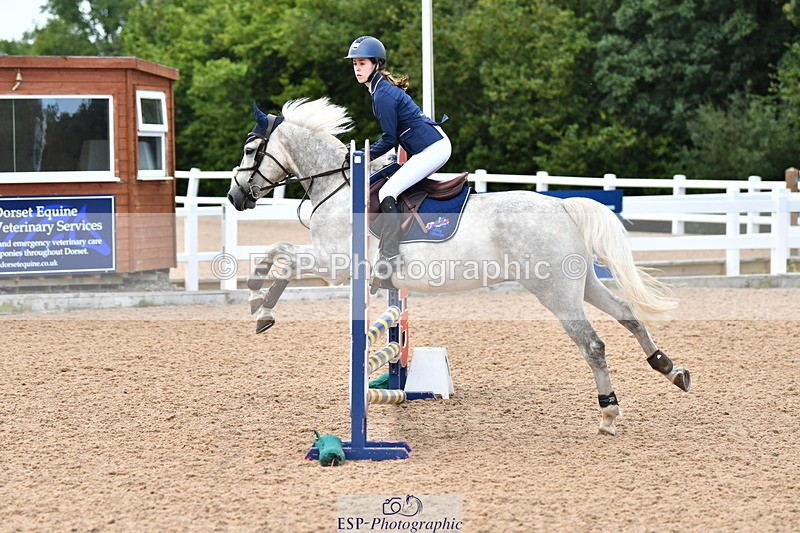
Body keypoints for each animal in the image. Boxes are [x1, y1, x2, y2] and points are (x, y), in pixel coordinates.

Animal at [227, 97, 691, 436]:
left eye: (251, 149)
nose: (234, 197)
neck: (339, 186)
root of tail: (561, 206)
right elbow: (280, 254)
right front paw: (259, 305)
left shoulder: (334, 263)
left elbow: (282, 255)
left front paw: (257, 301)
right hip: (582, 284)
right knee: (629, 315)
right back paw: (670, 369)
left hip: (556, 293)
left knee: (593, 345)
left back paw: (609, 415)